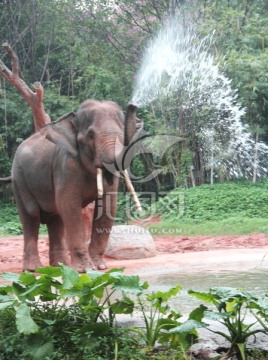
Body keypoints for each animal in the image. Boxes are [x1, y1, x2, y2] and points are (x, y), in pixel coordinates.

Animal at [11, 100, 140, 272]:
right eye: (90, 135)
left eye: (122, 132)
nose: (133, 105)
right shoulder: (65, 166)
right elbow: (69, 206)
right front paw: (84, 270)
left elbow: (107, 206)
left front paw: (99, 266)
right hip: (19, 179)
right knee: (31, 215)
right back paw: (34, 269)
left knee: (56, 219)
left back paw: (61, 266)